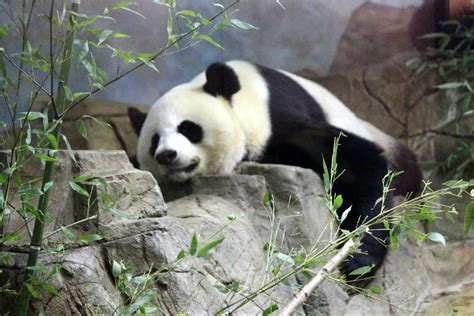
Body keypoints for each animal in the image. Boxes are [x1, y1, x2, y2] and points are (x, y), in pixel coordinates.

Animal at [127, 59, 422, 284]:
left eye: (188, 128)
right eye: (154, 140)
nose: (166, 155)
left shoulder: (281, 119)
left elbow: (357, 166)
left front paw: (357, 262)